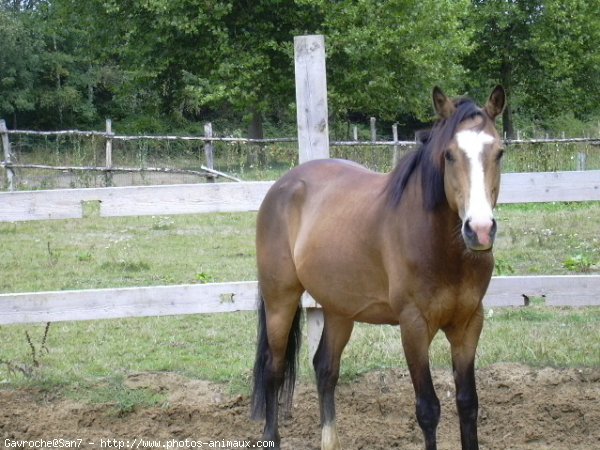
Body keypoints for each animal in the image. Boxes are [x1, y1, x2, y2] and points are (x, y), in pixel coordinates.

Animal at [251, 86, 504, 448]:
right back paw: (272, 436)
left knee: (325, 368)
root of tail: (282, 185)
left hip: (339, 308)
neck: (442, 249)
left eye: (499, 152)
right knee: (274, 367)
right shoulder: (413, 326)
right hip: (279, 300)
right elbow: (428, 409)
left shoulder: (468, 324)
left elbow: (468, 403)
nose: (480, 230)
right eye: (449, 155)